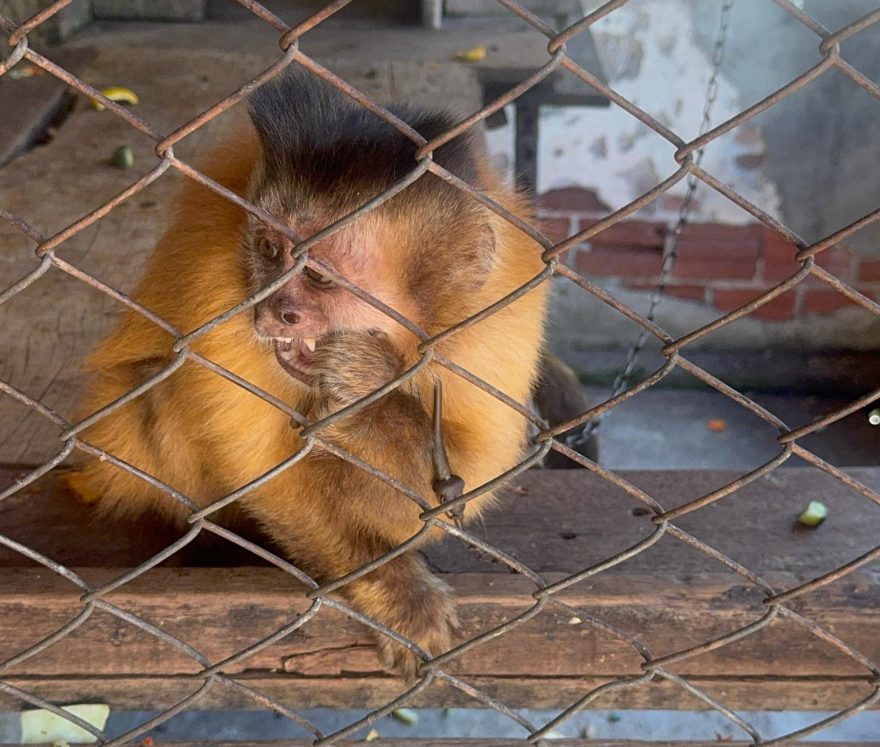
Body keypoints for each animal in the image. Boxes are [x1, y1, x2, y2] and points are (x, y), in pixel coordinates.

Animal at [66, 70, 548, 679]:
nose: (274, 312)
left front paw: (369, 391)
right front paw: (394, 590)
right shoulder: (221, 290)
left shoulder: (498, 315)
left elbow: (466, 482)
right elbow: (264, 471)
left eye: (317, 275)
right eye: (271, 250)